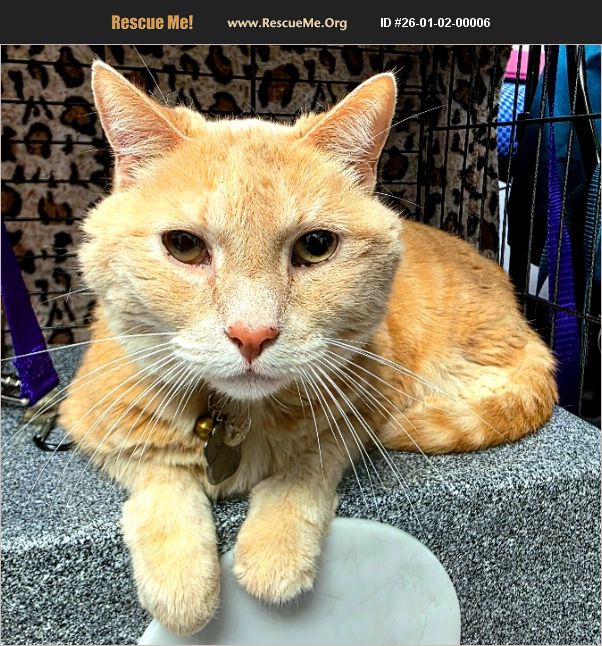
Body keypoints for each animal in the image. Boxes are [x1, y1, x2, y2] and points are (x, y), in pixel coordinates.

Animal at [59, 61, 558, 635]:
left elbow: (308, 464)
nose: (252, 334)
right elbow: (160, 476)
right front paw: (181, 580)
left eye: (315, 246)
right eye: (183, 246)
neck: (240, 418)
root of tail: (521, 313)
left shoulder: (364, 405)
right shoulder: (97, 419)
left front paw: (273, 550)